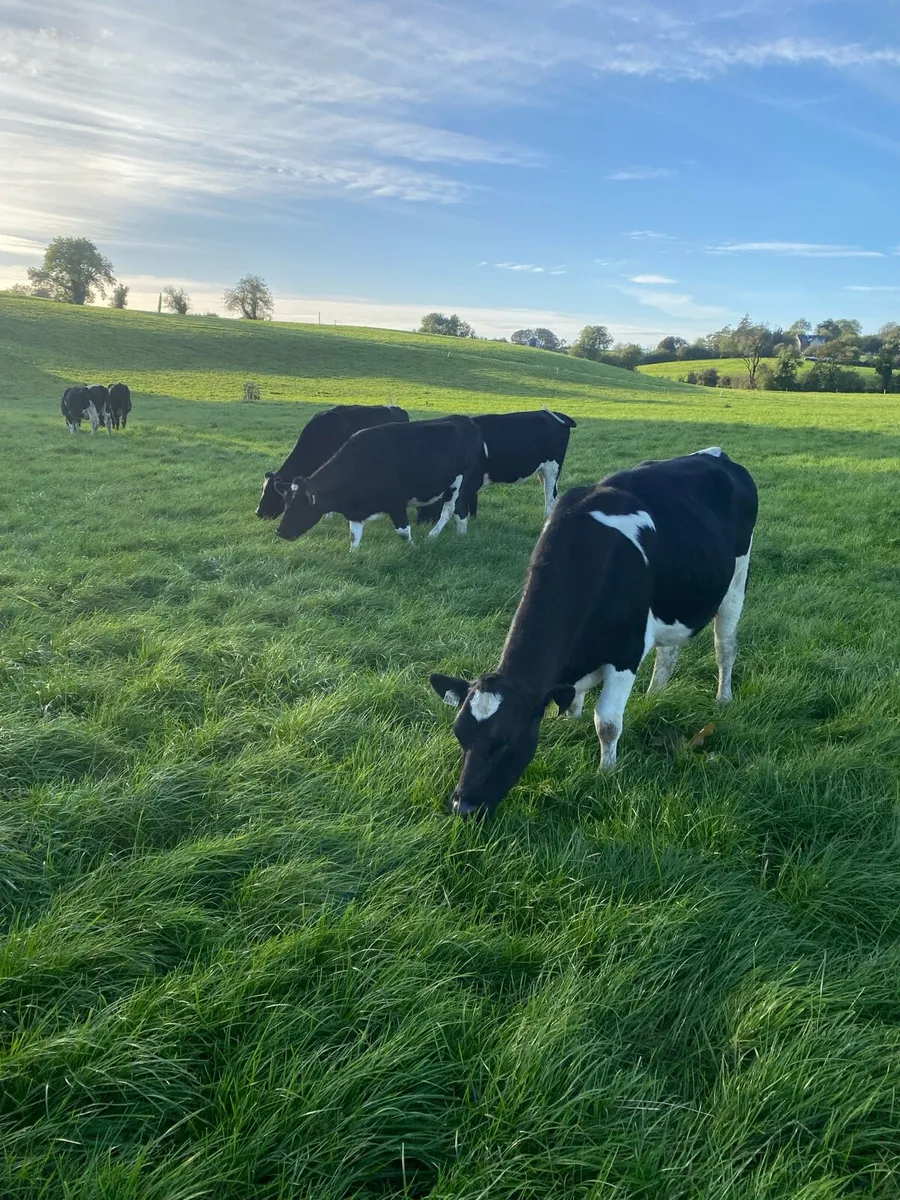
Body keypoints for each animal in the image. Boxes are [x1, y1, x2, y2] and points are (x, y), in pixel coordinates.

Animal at [275, 415, 484, 549]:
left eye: (301, 506)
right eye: (285, 503)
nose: (279, 532)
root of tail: (465, 420)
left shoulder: (396, 503)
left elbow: (403, 532)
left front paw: (414, 548)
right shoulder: (356, 511)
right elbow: (354, 536)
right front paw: (353, 556)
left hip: (459, 484)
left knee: (451, 511)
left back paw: (437, 536)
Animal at [416, 408, 576, 527]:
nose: (421, 523)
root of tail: (555, 414)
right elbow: (472, 502)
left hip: (552, 469)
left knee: (550, 497)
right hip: (542, 472)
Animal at [430, 448, 758, 818]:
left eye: (505, 739)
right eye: (459, 734)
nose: (462, 805)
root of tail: (717, 454)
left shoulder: (626, 651)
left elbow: (608, 723)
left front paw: (607, 772)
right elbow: (574, 701)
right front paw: (571, 723)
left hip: (736, 582)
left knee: (725, 647)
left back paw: (723, 696)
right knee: (668, 652)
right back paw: (656, 694)